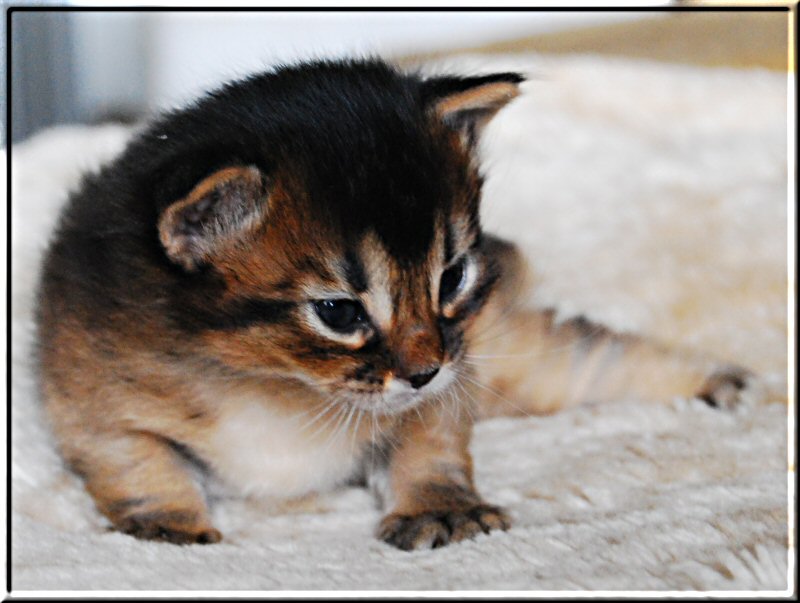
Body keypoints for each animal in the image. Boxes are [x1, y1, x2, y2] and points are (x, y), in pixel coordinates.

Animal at [32, 57, 756, 552]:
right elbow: (136, 458)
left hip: (510, 358)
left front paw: (440, 509)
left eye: (452, 277)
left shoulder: (450, 383)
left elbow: (428, 443)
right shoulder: (89, 392)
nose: (425, 369)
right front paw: (167, 524)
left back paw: (721, 382)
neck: (275, 387)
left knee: (588, 359)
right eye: (340, 313)